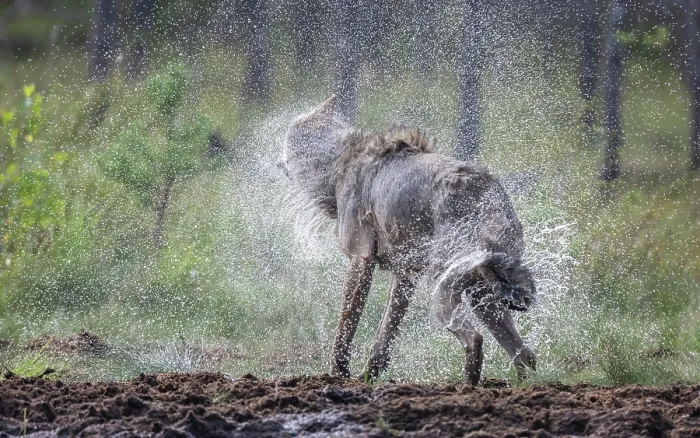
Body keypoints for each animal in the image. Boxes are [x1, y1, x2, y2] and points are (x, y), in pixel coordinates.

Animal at [280, 96, 536, 385]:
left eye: (288, 137)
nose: (278, 161)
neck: (339, 163)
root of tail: (485, 197)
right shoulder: (406, 274)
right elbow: (385, 335)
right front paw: (368, 377)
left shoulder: (360, 258)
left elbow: (346, 326)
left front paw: (339, 374)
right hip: (481, 293)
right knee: (525, 354)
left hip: (443, 291)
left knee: (475, 339)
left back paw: (467, 387)